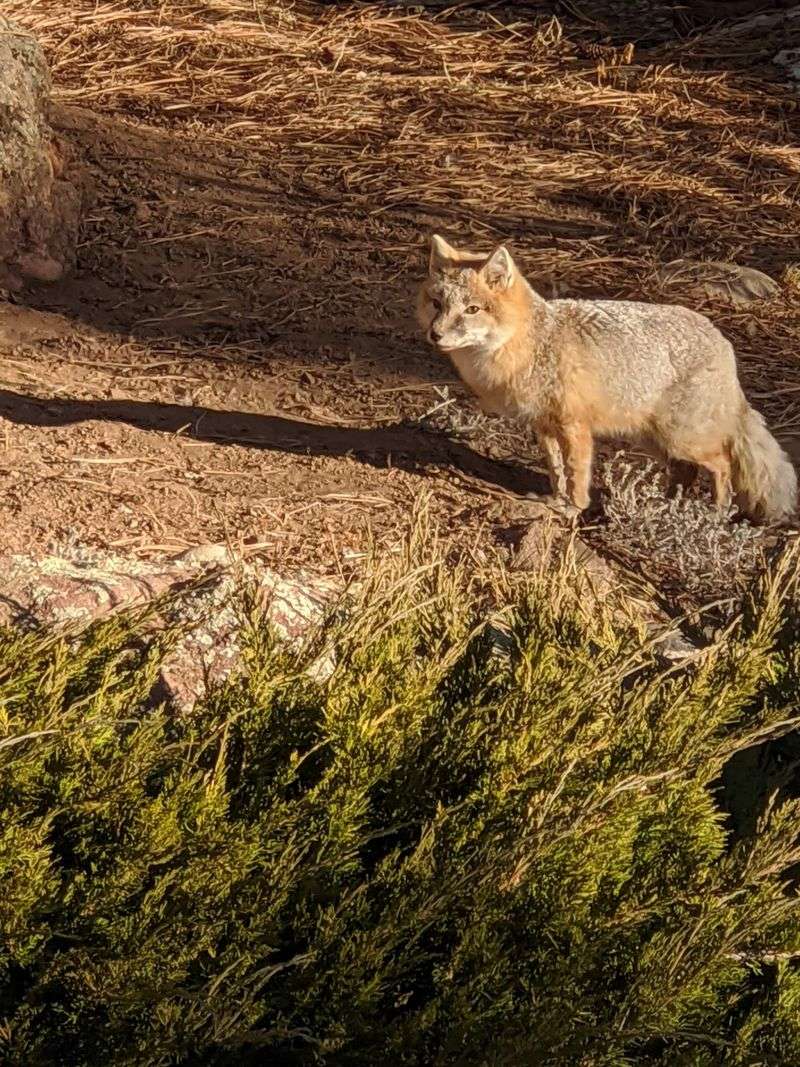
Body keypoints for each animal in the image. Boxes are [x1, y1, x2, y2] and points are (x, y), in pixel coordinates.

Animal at [417, 234, 797, 523]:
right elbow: (556, 470)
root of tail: (722, 340)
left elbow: (576, 473)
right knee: (685, 472)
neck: (531, 344)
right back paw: (666, 507)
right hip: (655, 439)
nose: (435, 335)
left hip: (682, 438)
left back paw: (715, 513)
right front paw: (554, 500)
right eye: (437, 304)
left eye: (472, 310)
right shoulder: (543, 426)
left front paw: (573, 509)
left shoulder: (575, 427)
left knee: (722, 464)